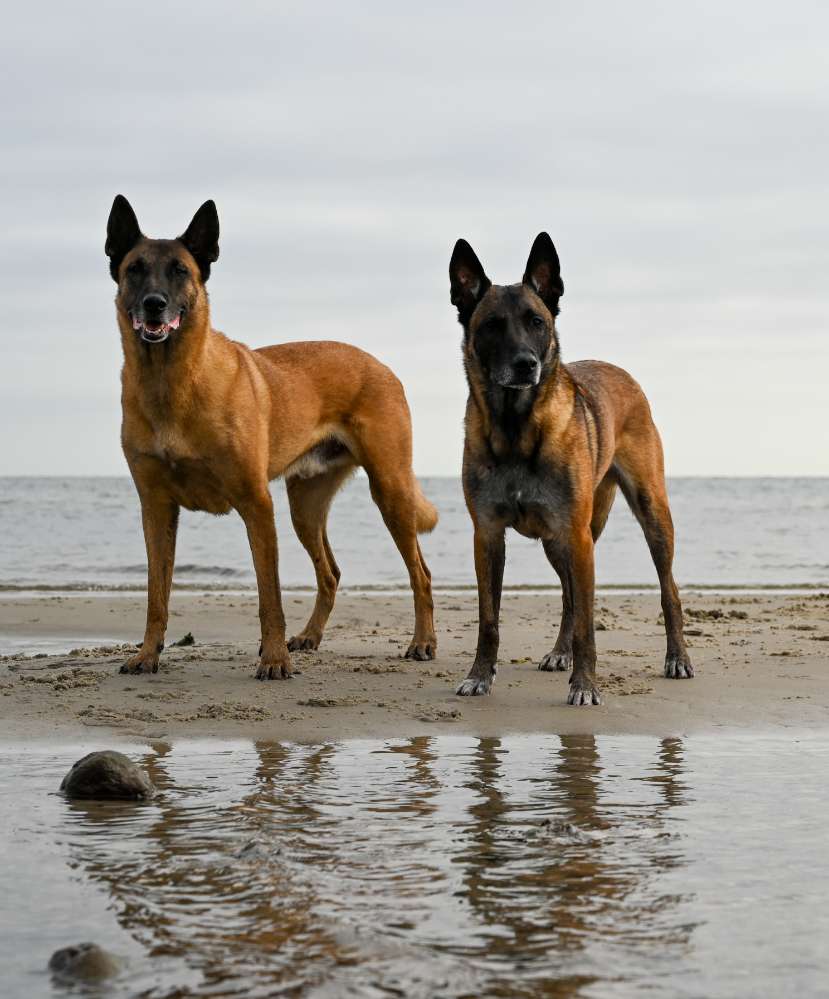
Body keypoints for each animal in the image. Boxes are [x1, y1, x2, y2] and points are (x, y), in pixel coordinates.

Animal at [450, 234, 688, 708]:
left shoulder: (576, 536)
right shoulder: (487, 535)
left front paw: (585, 685)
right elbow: (490, 620)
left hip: (646, 515)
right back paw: (560, 653)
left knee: (667, 589)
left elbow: (586, 625)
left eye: (536, 322)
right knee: (567, 597)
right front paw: (479, 676)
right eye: (492, 325)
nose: (526, 364)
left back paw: (677, 657)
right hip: (557, 541)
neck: (517, 429)